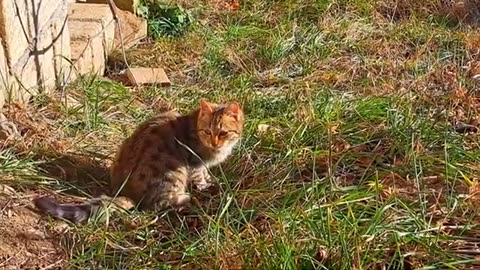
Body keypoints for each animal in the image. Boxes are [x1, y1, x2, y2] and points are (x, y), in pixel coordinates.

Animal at [33, 100, 246, 223]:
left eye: (223, 133)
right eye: (208, 132)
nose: (214, 142)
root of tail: (126, 192)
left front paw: (211, 180)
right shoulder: (195, 164)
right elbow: (200, 177)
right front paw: (206, 186)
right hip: (174, 173)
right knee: (156, 205)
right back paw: (185, 198)